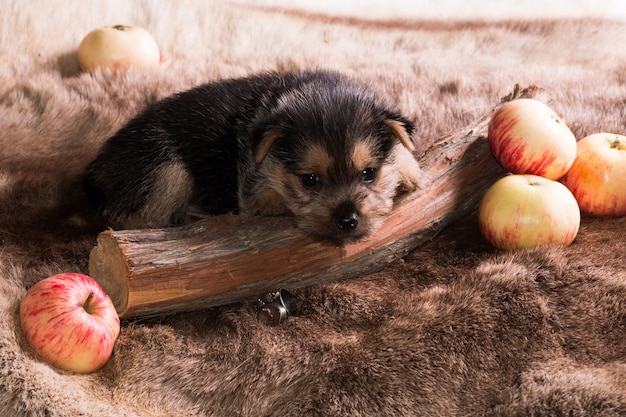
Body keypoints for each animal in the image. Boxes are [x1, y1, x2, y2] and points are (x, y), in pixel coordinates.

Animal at [83, 69, 424, 242]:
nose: (348, 221)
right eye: (310, 180)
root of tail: (97, 164)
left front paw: (409, 170)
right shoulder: (255, 193)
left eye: (369, 173)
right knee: (131, 219)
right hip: (165, 166)